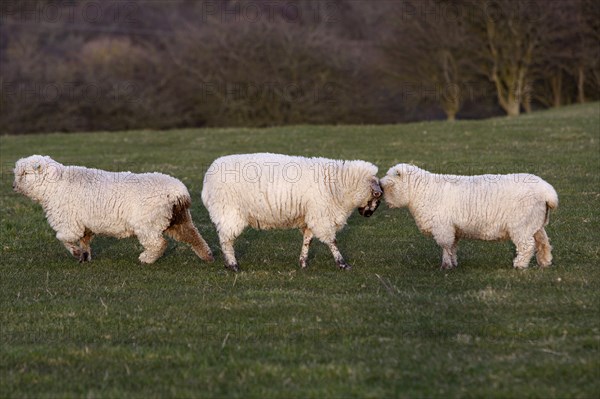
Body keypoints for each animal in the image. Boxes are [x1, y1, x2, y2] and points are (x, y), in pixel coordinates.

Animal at [12, 156, 216, 266]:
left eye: (25, 173)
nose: (13, 186)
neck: (54, 186)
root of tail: (179, 192)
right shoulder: (84, 225)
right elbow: (84, 241)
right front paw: (84, 256)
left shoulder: (69, 223)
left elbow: (64, 238)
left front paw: (76, 253)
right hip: (178, 219)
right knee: (194, 237)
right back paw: (207, 256)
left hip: (148, 222)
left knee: (159, 243)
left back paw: (146, 259)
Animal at [199, 153, 382, 272]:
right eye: (376, 195)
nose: (368, 215)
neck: (339, 183)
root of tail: (207, 178)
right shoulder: (321, 216)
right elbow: (332, 241)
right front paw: (343, 264)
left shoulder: (310, 217)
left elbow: (308, 240)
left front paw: (303, 263)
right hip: (229, 211)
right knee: (226, 240)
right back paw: (233, 265)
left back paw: (228, 263)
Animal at [380, 164, 556, 270]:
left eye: (389, 185)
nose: (383, 199)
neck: (421, 191)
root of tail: (547, 191)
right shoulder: (453, 229)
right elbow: (452, 246)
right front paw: (453, 262)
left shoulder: (443, 227)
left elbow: (445, 246)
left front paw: (446, 265)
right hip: (535, 223)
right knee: (543, 242)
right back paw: (545, 262)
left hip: (521, 225)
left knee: (527, 246)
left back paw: (520, 265)